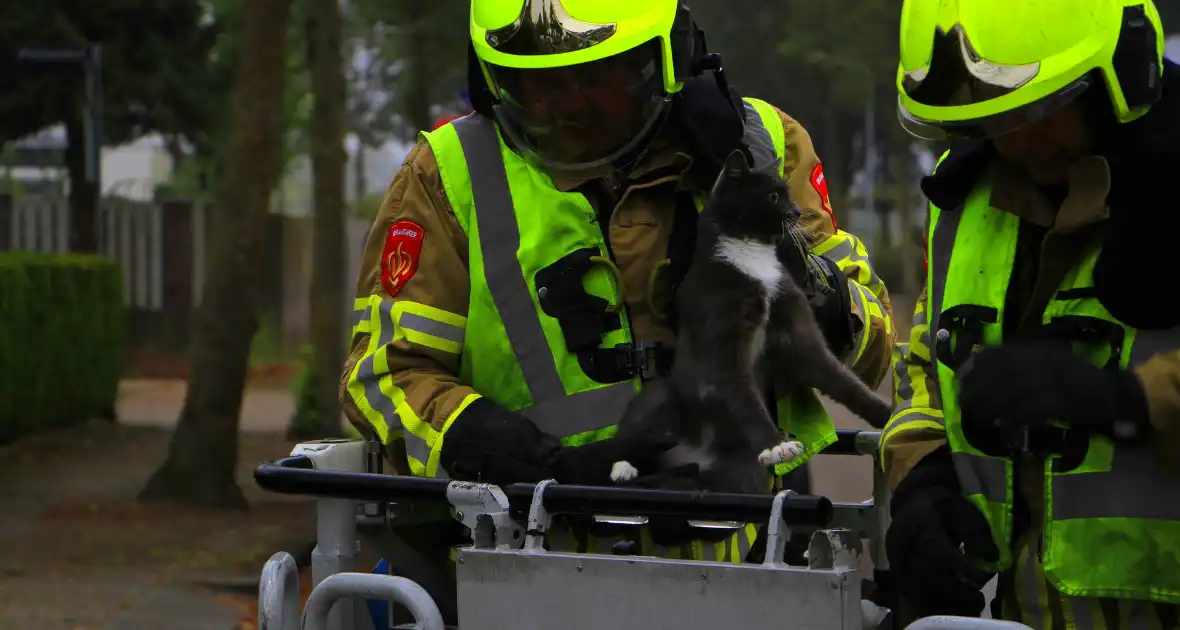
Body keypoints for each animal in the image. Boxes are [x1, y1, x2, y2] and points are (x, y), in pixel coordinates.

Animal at [608, 149, 892, 497]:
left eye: (787, 192)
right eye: (773, 196)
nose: (797, 211)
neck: (752, 255)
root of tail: (693, 460)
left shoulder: (795, 328)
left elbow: (840, 378)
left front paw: (890, 415)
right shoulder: (721, 336)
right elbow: (742, 393)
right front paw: (777, 445)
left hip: (738, 472)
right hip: (662, 396)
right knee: (634, 435)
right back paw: (623, 468)